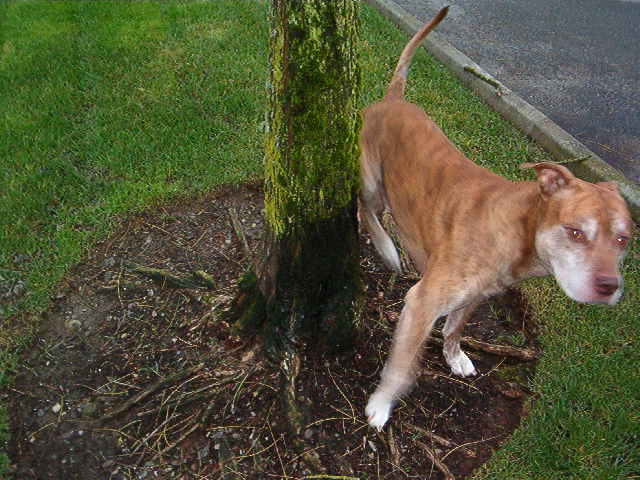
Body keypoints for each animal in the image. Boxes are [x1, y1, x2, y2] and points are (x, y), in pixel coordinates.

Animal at [362, 6, 632, 432]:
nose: (609, 286)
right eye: (575, 232)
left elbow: (455, 327)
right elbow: (402, 367)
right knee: (364, 209)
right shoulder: (421, 302)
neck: (517, 228)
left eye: (623, 240)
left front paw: (454, 355)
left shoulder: (476, 295)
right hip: (372, 180)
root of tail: (394, 99)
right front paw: (382, 403)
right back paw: (387, 250)